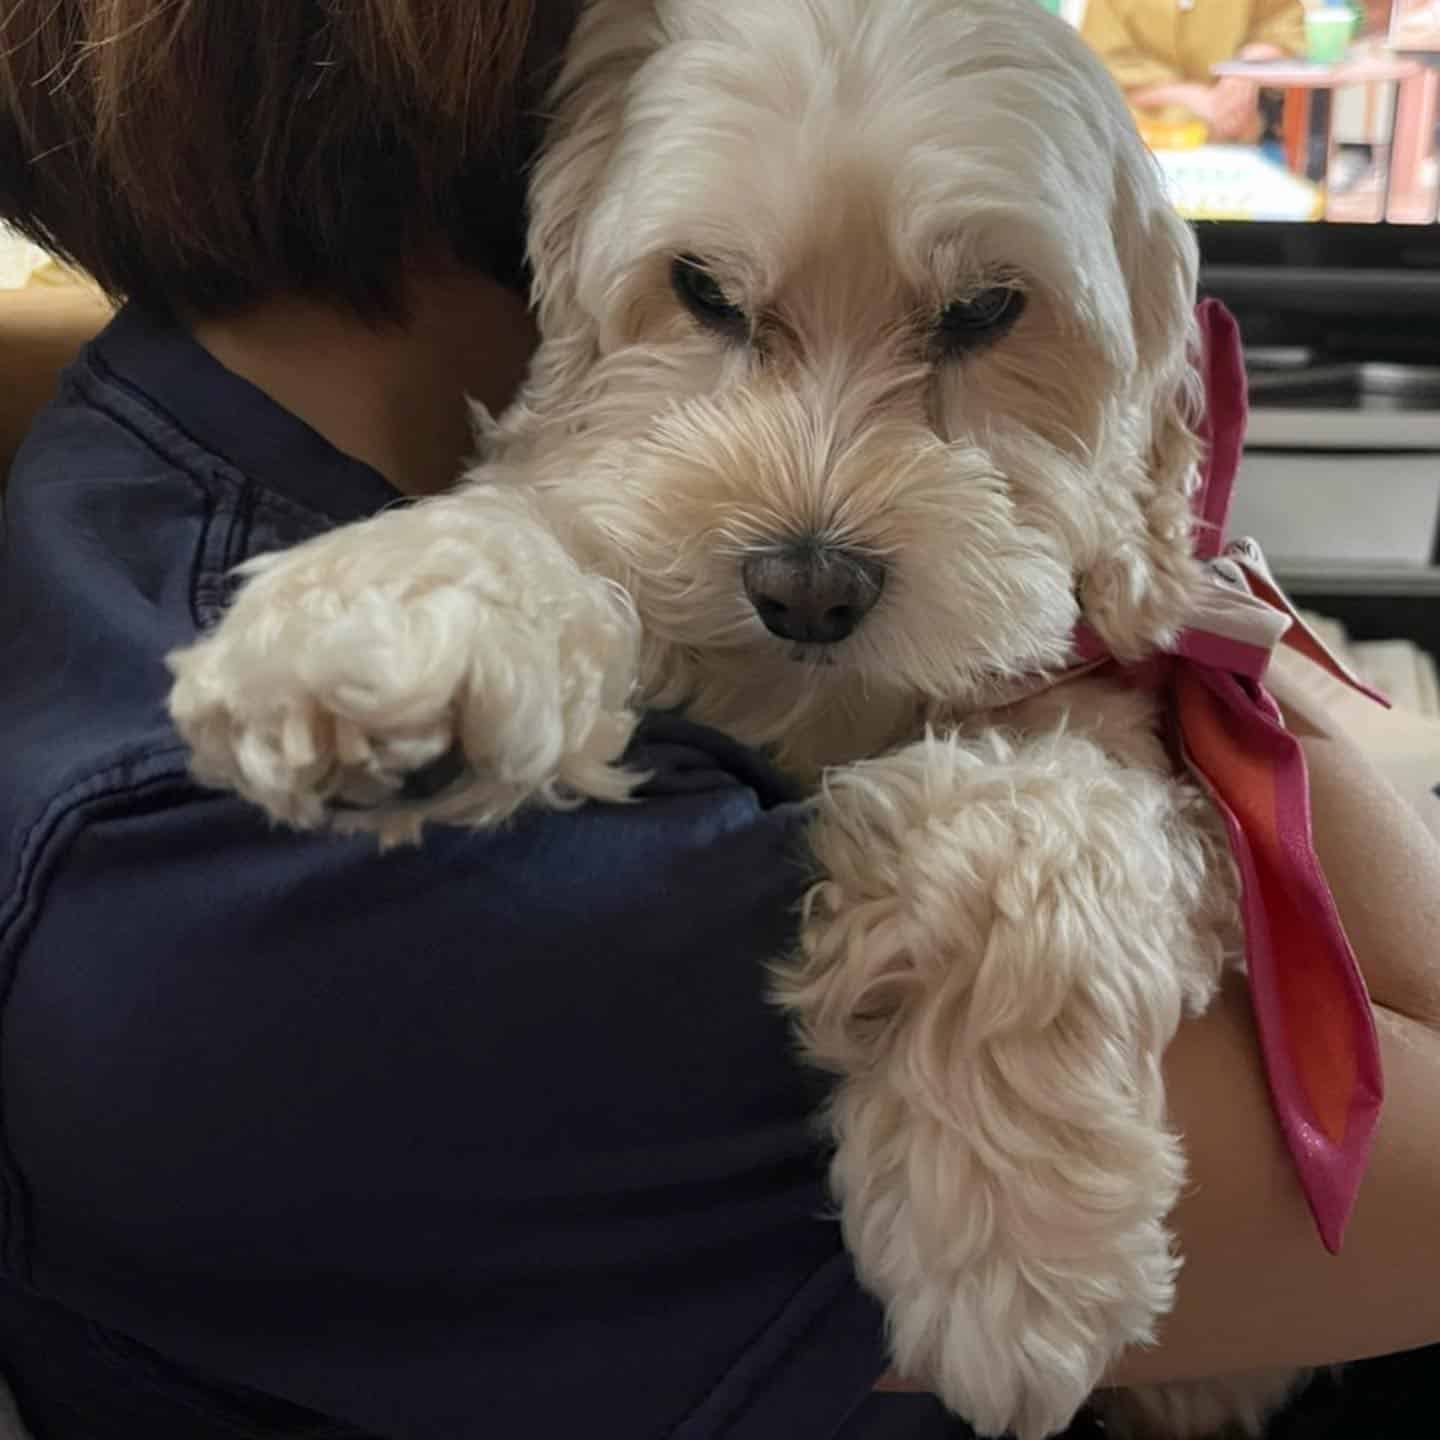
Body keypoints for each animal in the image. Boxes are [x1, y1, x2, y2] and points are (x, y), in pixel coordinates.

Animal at [168, 5, 1307, 1434]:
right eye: (704, 290)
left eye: (987, 310)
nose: (806, 585)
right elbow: (557, 524)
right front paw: (390, 611)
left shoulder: (1137, 753)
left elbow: (1032, 832)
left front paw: (1008, 1233)